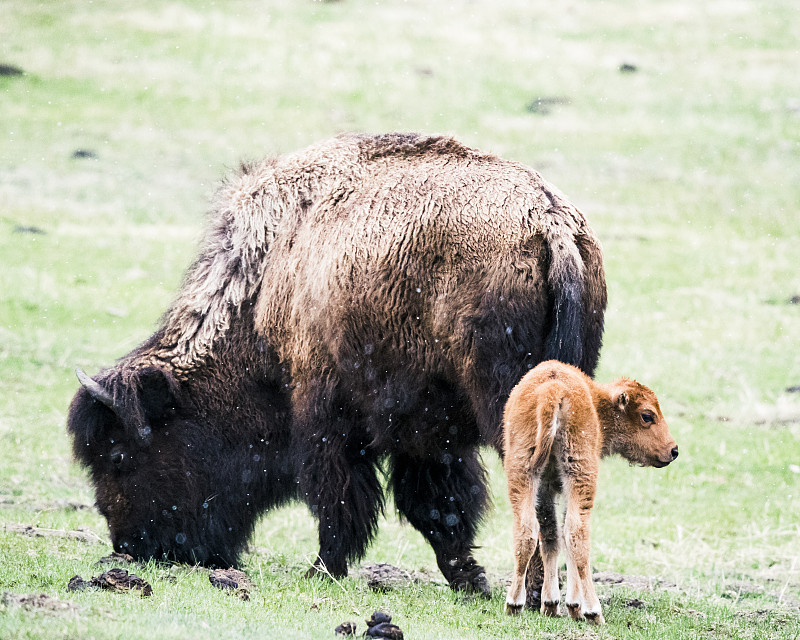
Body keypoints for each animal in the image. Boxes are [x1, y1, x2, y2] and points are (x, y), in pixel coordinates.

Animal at [67, 132, 608, 592]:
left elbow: (341, 497)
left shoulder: (326, 414)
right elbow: (439, 506)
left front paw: (322, 570)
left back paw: (534, 591)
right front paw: (468, 580)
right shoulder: (428, 433)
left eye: (119, 456)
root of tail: (550, 225)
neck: (265, 287)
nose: (131, 546)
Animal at [504, 362, 680, 624]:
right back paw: (594, 612)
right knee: (577, 534)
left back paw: (514, 604)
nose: (673, 450)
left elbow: (551, 538)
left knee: (526, 531)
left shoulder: (546, 490)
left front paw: (551, 604)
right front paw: (574, 606)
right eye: (647, 415)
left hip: (522, 470)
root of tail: (553, 389)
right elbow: (567, 540)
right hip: (579, 472)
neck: (598, 402)